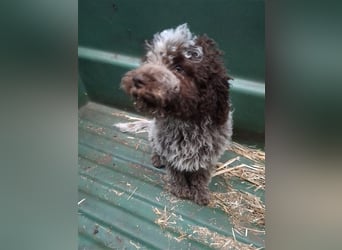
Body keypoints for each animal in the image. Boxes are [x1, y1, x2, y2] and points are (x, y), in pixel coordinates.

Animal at [120, 23, 232, 205]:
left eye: (179, 68)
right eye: (150, 60)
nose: (137, 80)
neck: (186, 121)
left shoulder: (208, 157)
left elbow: (200, 175)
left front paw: (200, 192)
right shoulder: (170, 152)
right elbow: (176, 172)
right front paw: (181, 189)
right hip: (154, 135)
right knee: (155, 148)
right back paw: (156, 158)